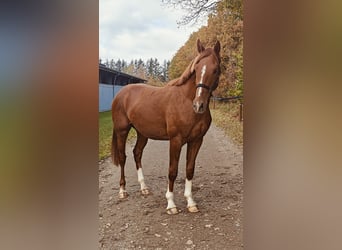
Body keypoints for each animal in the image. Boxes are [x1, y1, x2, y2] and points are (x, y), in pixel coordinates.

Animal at [111, 39, 220, 215]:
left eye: (215, 69)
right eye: (196, 69)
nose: (199, 105)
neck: (186, 101)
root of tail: (121, 93)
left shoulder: (197, 140)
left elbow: (189, 169)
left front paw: (191, 202)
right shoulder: (175, 140)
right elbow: (172, 171)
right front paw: (171, 204)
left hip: (142, 133)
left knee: (137, 153)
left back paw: (144, 188)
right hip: (122, 131)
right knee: (122, 157)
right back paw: (122, 191)